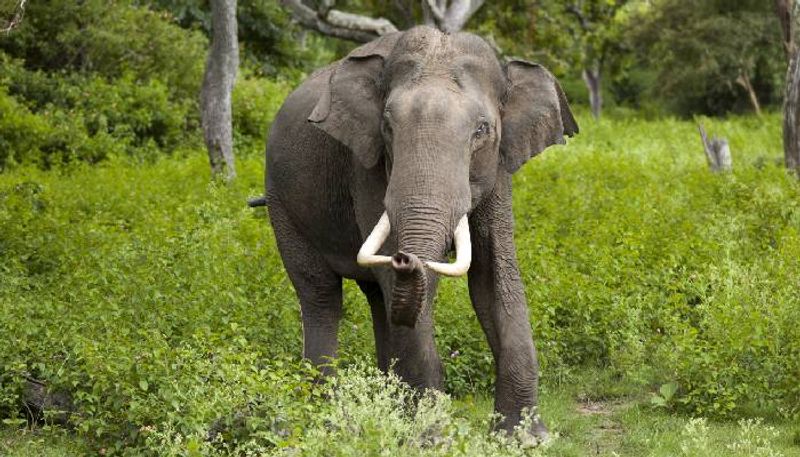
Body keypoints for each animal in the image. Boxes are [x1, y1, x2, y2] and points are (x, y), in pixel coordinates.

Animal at [260, 26, 580, 440]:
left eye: (482, 131)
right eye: (387, 127)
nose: (404, 257)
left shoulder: (498, 168)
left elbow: (495, 276)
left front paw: (525, 437)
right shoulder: (366, 165)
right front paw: (431, 436)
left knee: (378, 299)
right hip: (281, 202)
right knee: (321, 295)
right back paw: (324, 418)